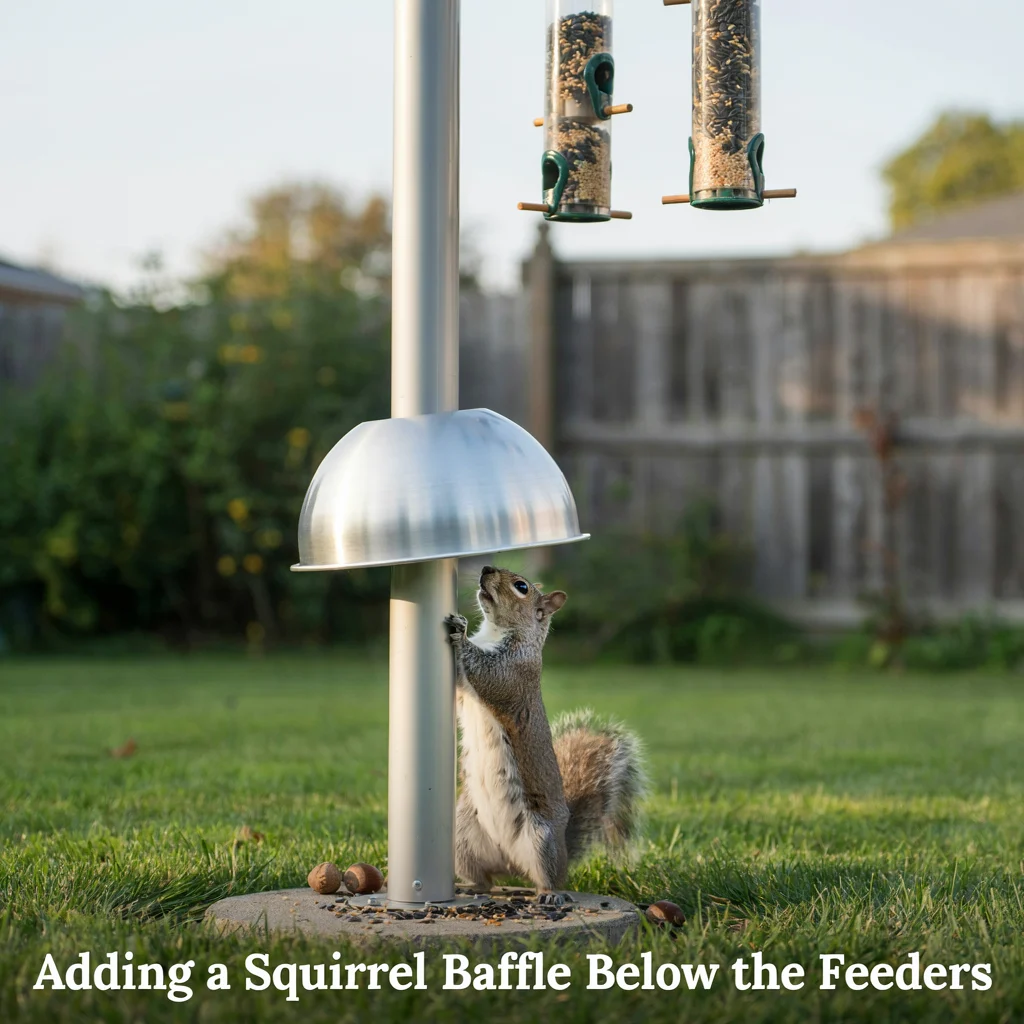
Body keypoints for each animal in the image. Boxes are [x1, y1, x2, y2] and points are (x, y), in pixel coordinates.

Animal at [444, 565, 646, 898]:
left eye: (521, 587)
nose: (486, 569)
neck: (495, 632)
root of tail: (511, 865)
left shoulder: (513, 672)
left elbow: (484, 672)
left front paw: (459, 632)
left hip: (542, 840)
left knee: (548, 876)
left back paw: (549, 893)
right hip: (462, 837)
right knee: (485, 878)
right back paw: (472, 886)